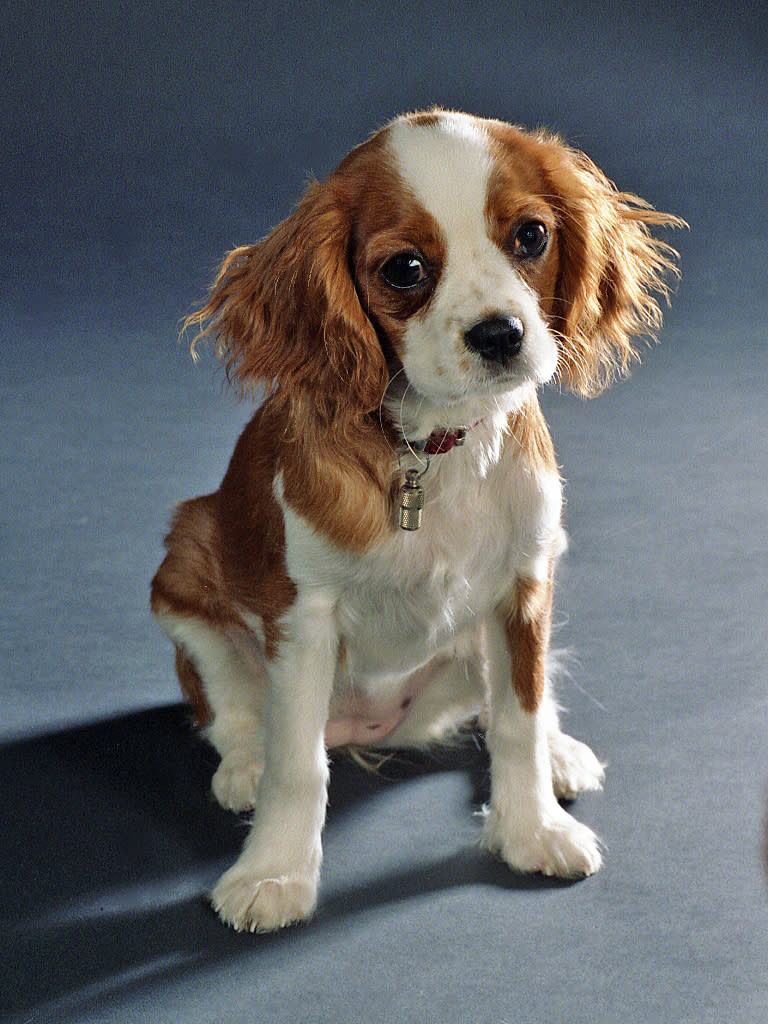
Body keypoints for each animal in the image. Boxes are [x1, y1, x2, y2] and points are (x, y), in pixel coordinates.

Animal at [150, 108, 679, 933]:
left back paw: (560, 752)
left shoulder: (524, 584)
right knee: (230, 711)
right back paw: (242, 766)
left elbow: (518, 719)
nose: (499, 334)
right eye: (404, 269)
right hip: (186, 559)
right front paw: (273, 874)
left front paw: (532, 829)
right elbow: (297, 762)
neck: (438, 444)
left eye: (531, 236)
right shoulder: (302, 616)